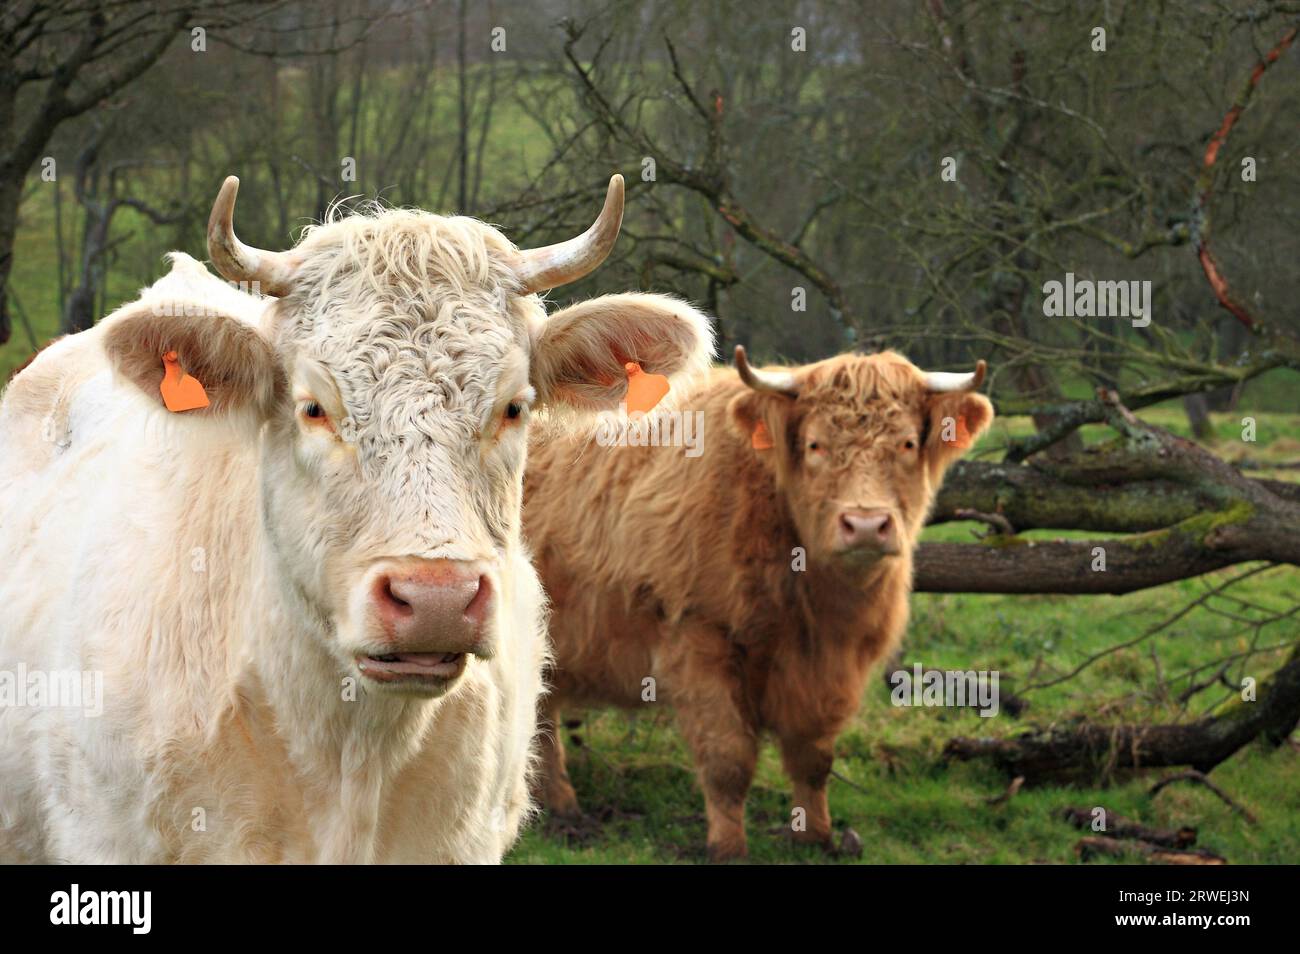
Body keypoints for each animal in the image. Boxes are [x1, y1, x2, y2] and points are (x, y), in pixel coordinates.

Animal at [522, 343, 987, 857]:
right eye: (815, 445)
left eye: (906, 444)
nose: (865, 525)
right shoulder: (698, 635)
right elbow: (728, 758)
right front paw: (728, 846)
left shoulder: (831, 665)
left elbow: (813, 756)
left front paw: (815, 835)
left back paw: (558, 804)